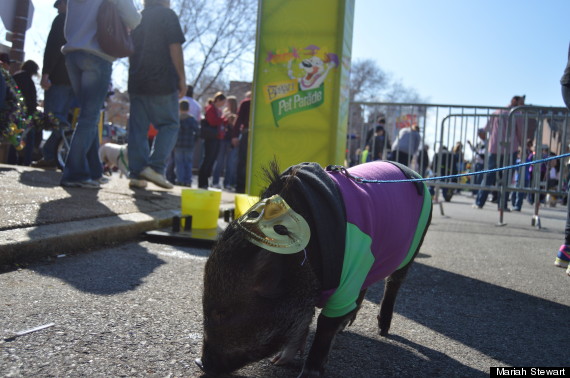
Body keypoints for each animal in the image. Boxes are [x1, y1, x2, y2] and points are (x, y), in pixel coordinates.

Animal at [196, 159, 430, 376]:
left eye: (222, 312)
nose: (200, 363)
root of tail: (412, 172)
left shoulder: (345, 285)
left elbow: (324, 327)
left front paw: (307, 373)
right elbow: (305, 322)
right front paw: (278, 362)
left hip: (411, 250)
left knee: (392, 284)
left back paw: (382, 330)